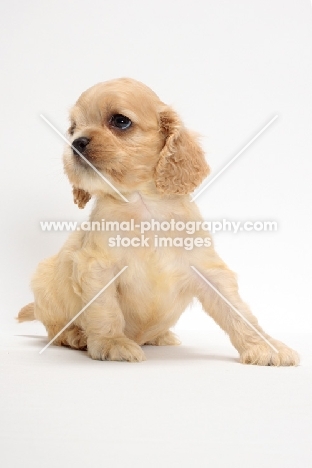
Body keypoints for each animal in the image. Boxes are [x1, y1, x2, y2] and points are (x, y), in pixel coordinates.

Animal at [17, 78, 300, 366]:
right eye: (72, 128)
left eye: (120, 121)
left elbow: (237, 310)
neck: (144, 204)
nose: (76, 143)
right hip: (44, 283)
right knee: (53, 329)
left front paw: (265, 346)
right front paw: (111, 343)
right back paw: (75, 335)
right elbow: (104, 308)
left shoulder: (208, 269)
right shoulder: (97, 267)